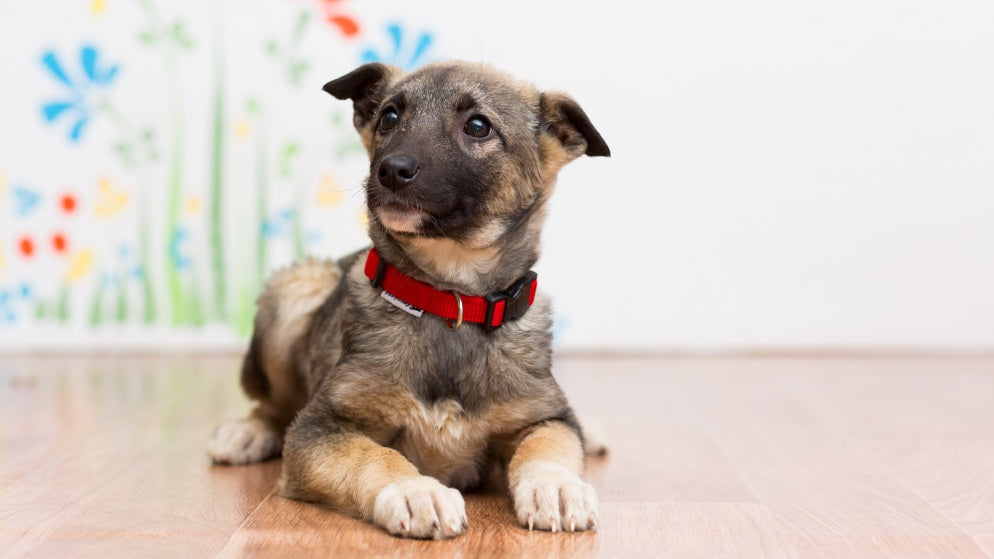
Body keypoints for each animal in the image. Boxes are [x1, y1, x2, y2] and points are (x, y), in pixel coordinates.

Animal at [206, 60, 608, 540]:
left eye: (478, 126)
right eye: (389, 118)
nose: (391, 170)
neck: (449, 300)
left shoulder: (541, 416)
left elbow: (549, 443)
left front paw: (557, 485)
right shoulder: (320, 426)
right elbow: (373, 455)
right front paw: (415, 491)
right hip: (294, 289)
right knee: (275, 405)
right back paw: (247, 432)